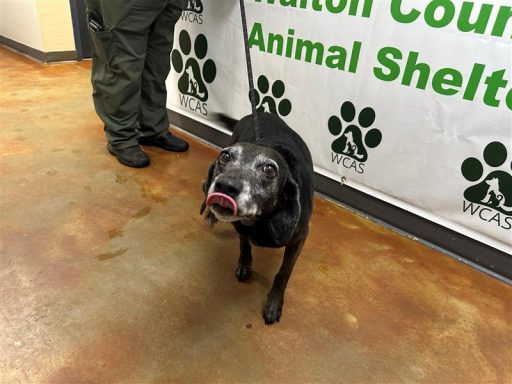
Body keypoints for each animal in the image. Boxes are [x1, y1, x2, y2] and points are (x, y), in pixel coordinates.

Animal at [199, 112, 312, 324]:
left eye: (269, 169)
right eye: (225, 156)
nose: (225, 185)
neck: (260, 221)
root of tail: (257, 113)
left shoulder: (299, 239)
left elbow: (283, 273)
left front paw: (274, 303)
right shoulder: (241, 228)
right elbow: (244, 246)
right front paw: (244, 265)